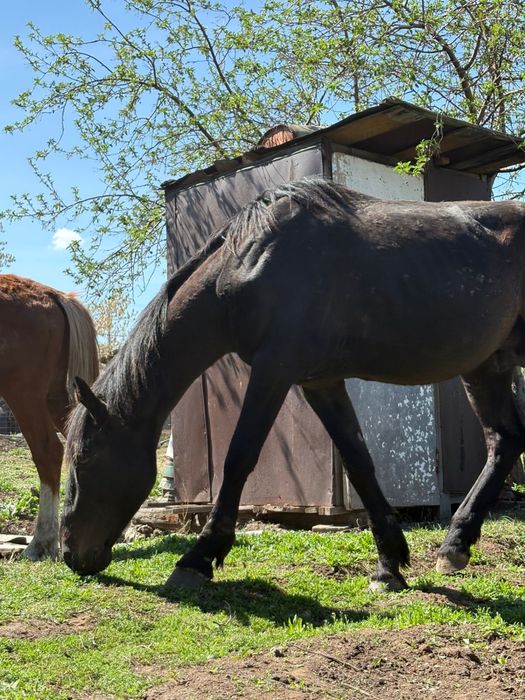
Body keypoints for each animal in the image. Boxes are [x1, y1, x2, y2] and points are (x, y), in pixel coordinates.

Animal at [62, 178, 525, 591]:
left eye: (83, 460)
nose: (70, 554)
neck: (251, 265)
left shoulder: (275, 369)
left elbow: (239, 456)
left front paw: (198, 558)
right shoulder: (319, 382)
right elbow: (358, 463)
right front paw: (388, 564)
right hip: (487, 366)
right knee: (504, 441)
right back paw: (455, 546)